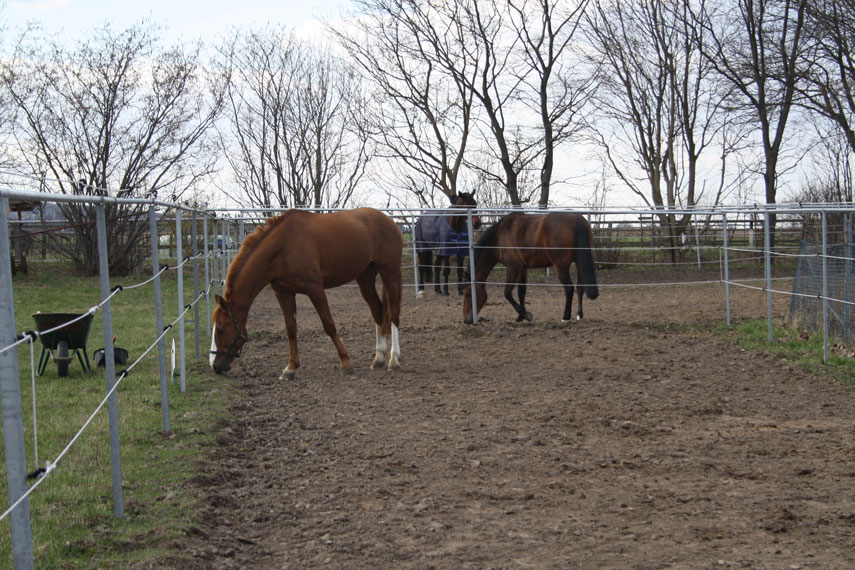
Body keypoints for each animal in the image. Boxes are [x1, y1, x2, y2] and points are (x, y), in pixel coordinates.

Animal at [211, 206, 404, 380]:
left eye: (220, 330)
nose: (215, 366)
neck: (284, 247)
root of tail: (389, 221)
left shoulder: (315, 289)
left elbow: (329, 325)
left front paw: (346, 363)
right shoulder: (283, 292)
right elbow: (291, 329)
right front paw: (290, 368)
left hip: (390, 272)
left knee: (393, 313)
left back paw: (393, 360)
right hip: (365, 276)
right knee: (378, 311)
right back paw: (378, 358)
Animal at [464, 210, 600, 324]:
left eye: (467, 294)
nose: (466, 320)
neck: (500, 236)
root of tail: (576, 219)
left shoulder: (513, 268)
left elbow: (507, 293)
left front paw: (526, 315)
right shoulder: (522, 269)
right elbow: (521, 292)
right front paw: (520, 317)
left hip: (561, 267)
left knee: (569, 289)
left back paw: (565, 317)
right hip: (579, 262)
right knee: (580, 288)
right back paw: (579, 315)